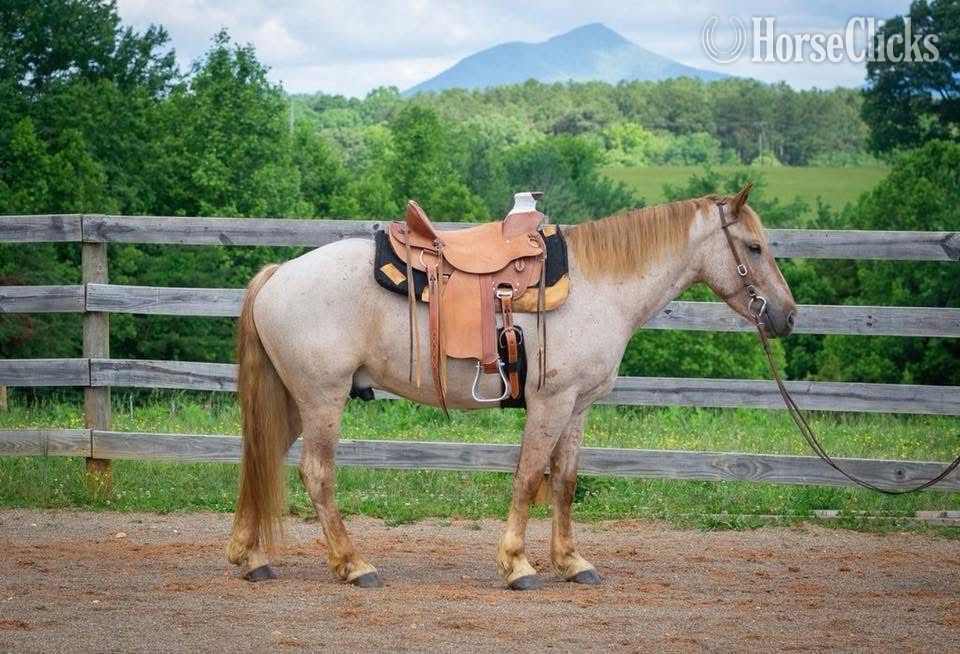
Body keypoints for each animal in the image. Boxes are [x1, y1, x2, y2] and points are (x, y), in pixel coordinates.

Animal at [225, 183, 797, 590]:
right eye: (753, 247)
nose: (788, 316)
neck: (598, 286)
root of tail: (278, 274)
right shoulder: (550, 403)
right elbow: (527, 478)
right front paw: (518, 565)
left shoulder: (578, 407)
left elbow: (564, 481)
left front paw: (572, 562)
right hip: (322, 397)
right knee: (317, 473)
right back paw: (353, 564)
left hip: (293, 401)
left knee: (263, 455)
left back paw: (251, 558)